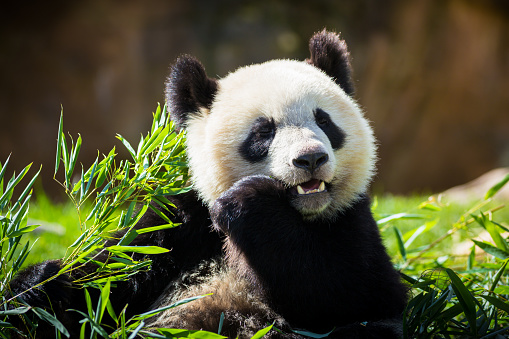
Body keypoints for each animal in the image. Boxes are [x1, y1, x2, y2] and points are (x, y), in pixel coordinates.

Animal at [7, 30, 406, 338]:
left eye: (323, 121)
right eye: (263, 131)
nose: (310, 159)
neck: (303, 215)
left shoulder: (351, 220)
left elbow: (350, 292)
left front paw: (251, 202)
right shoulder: (177, 228)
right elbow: (110, 279)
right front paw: (36, 287)